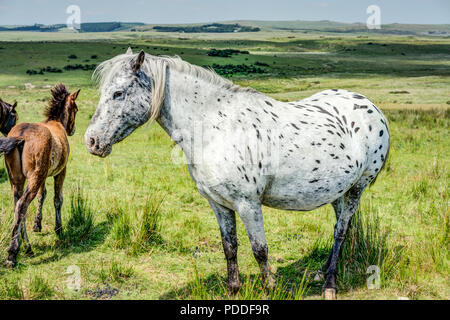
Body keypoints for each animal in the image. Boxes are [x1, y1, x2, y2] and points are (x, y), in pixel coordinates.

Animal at [0, 84, 80, 266]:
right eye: (76, 109)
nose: (72, 130)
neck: (56, 123)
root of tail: (21, 135)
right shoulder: (60, 172)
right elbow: (57, 199)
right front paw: (59, 229)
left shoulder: (43, 176)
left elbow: (41, 196)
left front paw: (37, 224)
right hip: (34, 178)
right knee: (22, 205)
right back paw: (12, 254)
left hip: (17, 181)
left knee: (17, 206)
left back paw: (27, 247)